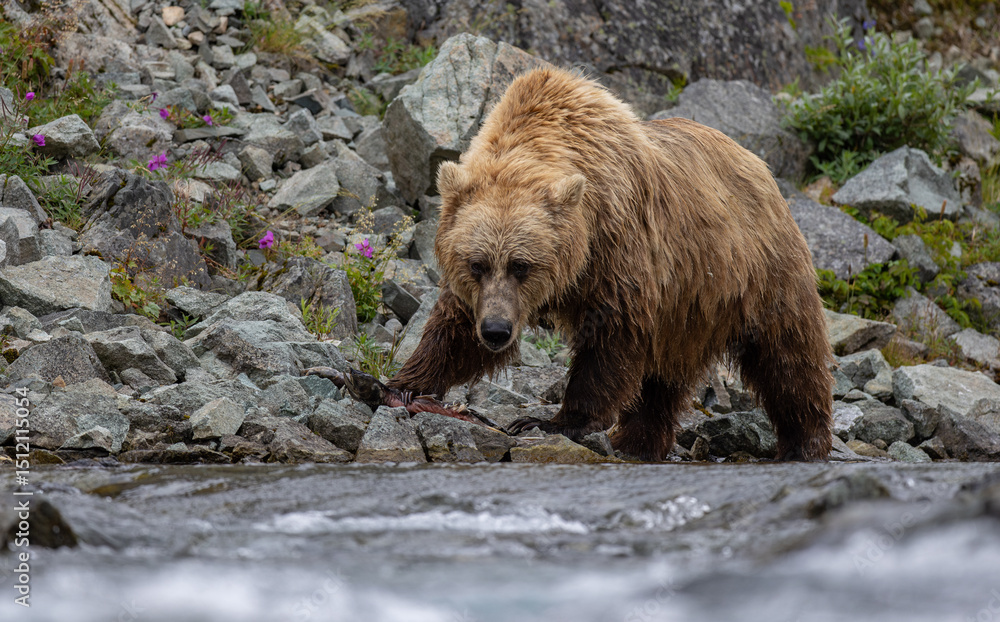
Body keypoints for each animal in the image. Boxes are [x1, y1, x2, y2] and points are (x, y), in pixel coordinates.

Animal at [387, 67, 834, 461]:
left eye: (521, 265)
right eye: (477, 264)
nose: (497, 331)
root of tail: (761, 166)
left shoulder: (617, 246)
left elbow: (611, 334)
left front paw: (552, 421)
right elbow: (454, 326)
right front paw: (404, 385)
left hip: (758, 271)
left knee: (788, 357)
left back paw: (804, 443)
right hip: (686, 307)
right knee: (663, 378)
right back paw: (638, 441)